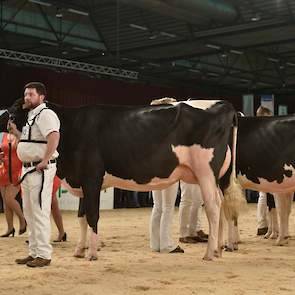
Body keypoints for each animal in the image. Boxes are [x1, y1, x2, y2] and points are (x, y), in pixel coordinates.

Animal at [1, 99, 240, 262]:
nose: (4, 119)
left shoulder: (92, 178)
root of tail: (225, 105)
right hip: (216, 176)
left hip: (205, 172)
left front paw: (92, 253)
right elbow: (81, 217)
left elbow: (93, 216)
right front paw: (79, 250)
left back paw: (209, 253)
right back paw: (219, 249)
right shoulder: (83, 182)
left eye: (14, 110)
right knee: (222, 206)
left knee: (213, 207)